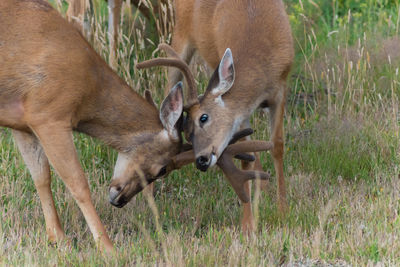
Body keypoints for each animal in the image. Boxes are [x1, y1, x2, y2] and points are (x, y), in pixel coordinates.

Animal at [0, 0, 272, 253]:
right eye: (163, 168)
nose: (119, 200)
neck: (88, 87)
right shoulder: (49, 114)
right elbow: (77, 183)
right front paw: (106, 246)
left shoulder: (23, 123)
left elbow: (41, 178)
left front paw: (58, 238)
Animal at [136, 0, 296, 232]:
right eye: (187, 133)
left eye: (203, 118)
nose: (201, 160)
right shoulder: (241, 113)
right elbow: (246, 158)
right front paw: (248, 224)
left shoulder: (280, 89)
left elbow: (277, 146)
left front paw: (283, 210)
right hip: (181, 34)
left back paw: (263, 184)